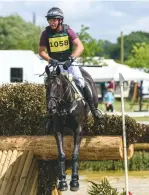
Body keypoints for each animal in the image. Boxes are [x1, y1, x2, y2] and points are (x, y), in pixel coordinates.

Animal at [44, 62, 99, 192]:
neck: (64, 105)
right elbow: (61, 154)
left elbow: (75, 154)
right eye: (46, 85)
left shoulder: (78, 130)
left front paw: (74, 182)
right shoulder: (58, 131)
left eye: (58, 85)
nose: (51, 108)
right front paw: (63, 182)